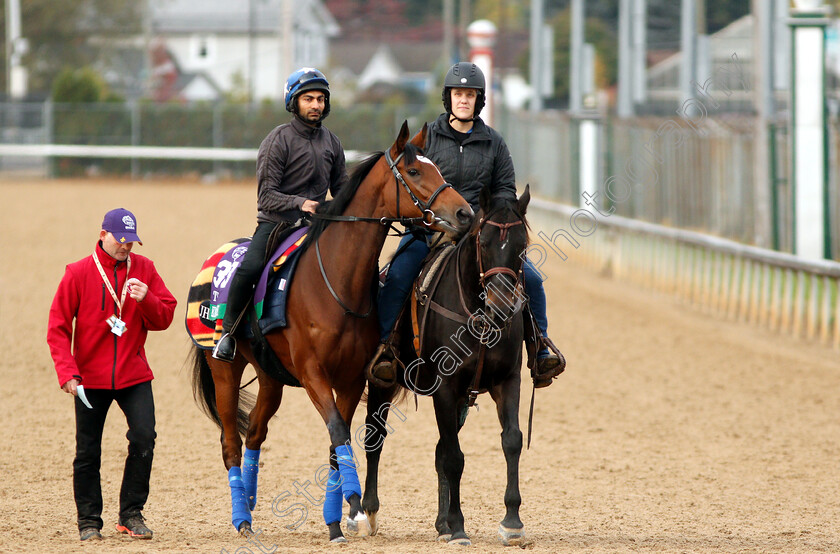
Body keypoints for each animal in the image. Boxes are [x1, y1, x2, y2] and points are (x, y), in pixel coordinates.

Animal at [191, 122, 476, 540]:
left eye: (437, 168)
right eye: (414, 171)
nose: (464, 212)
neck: (336, 285)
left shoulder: (352, 378)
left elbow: (334, 444)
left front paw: (335, 521)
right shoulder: (314, 374)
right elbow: (339, 432)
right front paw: (354, 504)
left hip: (270, 376)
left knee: (255, 432)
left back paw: (251, 501)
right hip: (224, 370)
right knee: (230, 442)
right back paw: (241, 518)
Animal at [360, 184, 532, 544]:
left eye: (522, 246)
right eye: (484, 242)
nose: (501, 307)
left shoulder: (507, 381)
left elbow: (510, 440)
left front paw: (511, 521)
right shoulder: (446, 387)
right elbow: (454, 457)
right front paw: (459, 527)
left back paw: (441, 523)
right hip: (382, 383)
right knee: (375, 438)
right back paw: (368, 512)